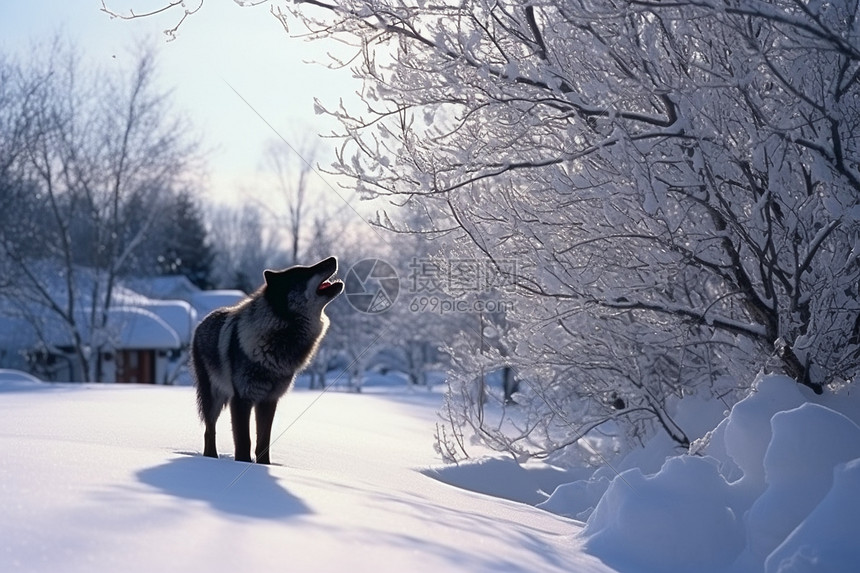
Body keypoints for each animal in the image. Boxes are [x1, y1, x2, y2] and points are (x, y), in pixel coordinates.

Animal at [191, 256, 342, 462]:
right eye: (304, 272)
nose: (333, 258)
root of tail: (201, 323)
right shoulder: (242, 399)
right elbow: (244, 441)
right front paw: (242, 463)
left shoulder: (269, 401)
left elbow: (263, 442)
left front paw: (264, 465)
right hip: (213, 397)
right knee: (209, 429)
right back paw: (210, 458)